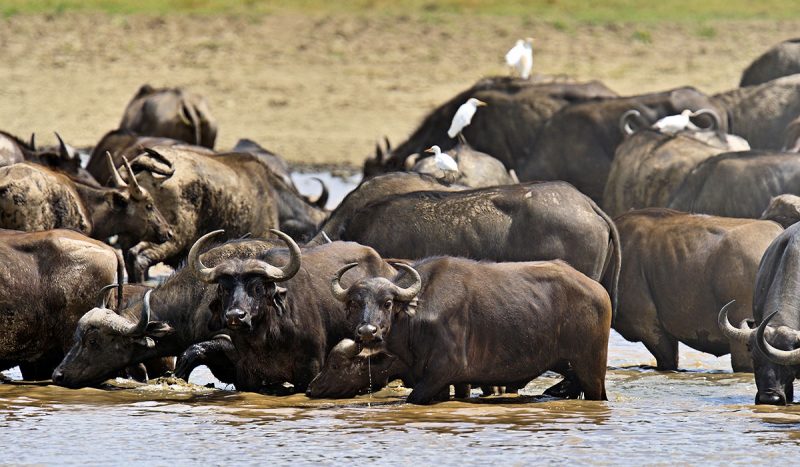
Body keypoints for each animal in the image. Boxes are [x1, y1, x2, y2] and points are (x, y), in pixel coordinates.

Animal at [329, 257, 611, 404]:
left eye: (387, 303)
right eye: (355, 303)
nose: (367, 331)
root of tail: (598, 290)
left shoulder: (440, 373)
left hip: (592, 369)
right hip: (566, 362)